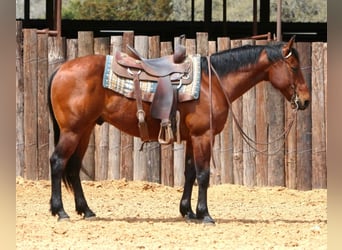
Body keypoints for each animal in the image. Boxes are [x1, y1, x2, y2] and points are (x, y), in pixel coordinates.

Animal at [47, 36, 310, 224]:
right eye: (294, 67)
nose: (306, 100)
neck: (211, 83)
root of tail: (61, 69)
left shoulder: (193, 138)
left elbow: (190, 173)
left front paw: (188, 212)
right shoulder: (203, 136)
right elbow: (203, 175)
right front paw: (205, 214)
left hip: (85, 130)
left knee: (73, 168)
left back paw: (86, 210)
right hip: (72, 131)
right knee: (58, 162)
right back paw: (60, 211)